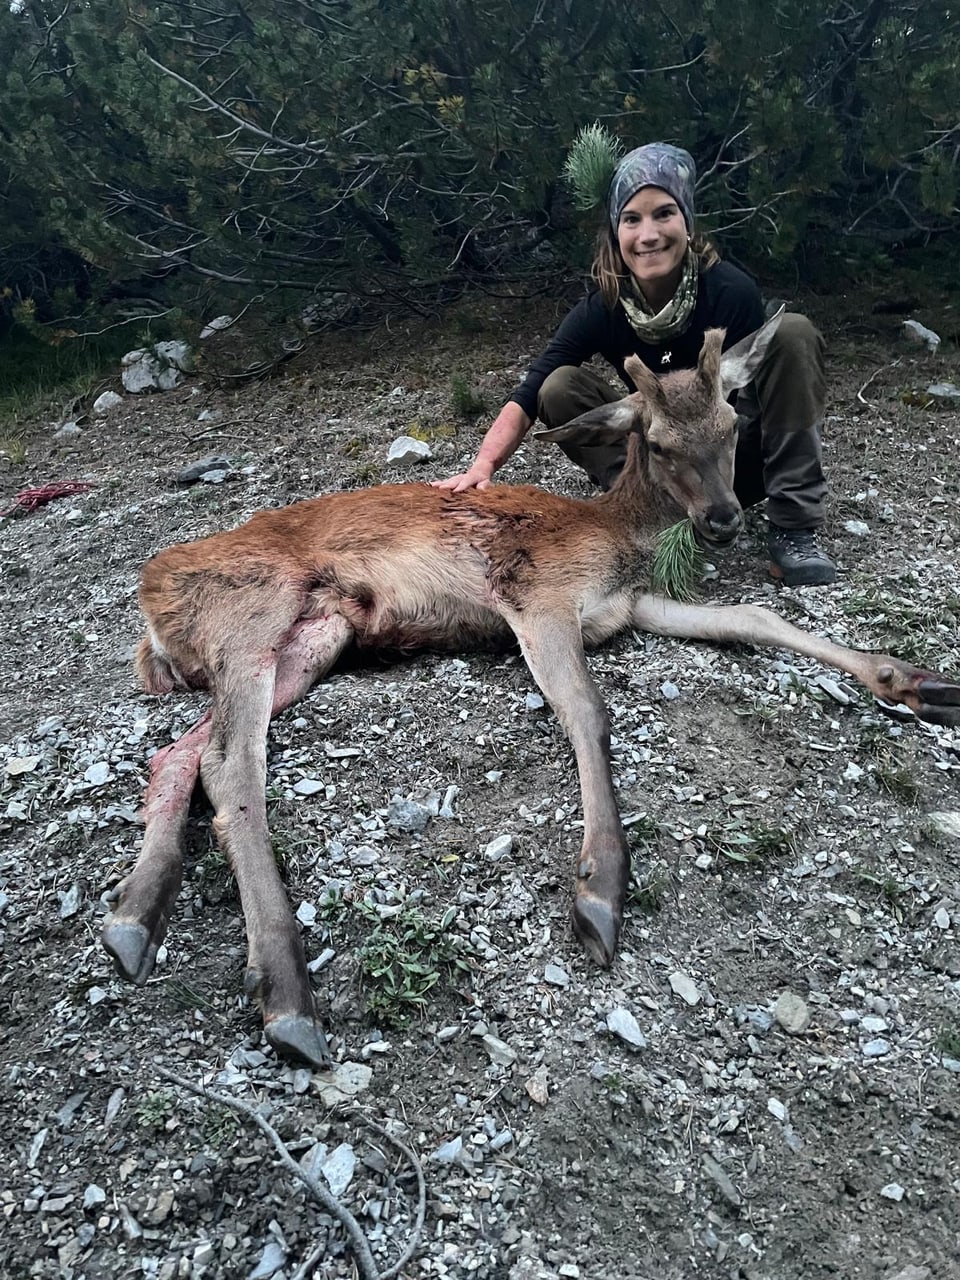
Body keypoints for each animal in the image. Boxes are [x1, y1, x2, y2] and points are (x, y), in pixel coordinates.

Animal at [103, 317, 960, 1070]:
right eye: (657, 440)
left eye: (731, 421)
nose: (721, 519)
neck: (618, 538)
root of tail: (146, 607)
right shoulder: (537, 593)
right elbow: (586, 711)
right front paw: (601, 890)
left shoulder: (630, 603)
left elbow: (755, 616)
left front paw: (916, 681)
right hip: (252, 613)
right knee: (230, 764)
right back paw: (285, 993)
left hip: (314, 639)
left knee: (178, 752)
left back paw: (133, 919)